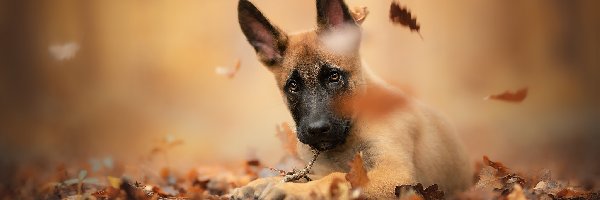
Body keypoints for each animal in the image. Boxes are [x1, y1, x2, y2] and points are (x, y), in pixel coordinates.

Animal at [234, 0, 474, 198]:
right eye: (293, 86)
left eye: (334, 76)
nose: (316, 129)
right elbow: (301, 174)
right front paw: (260, 184)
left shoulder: (395, 175)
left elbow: (339, 177)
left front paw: (291, 190)